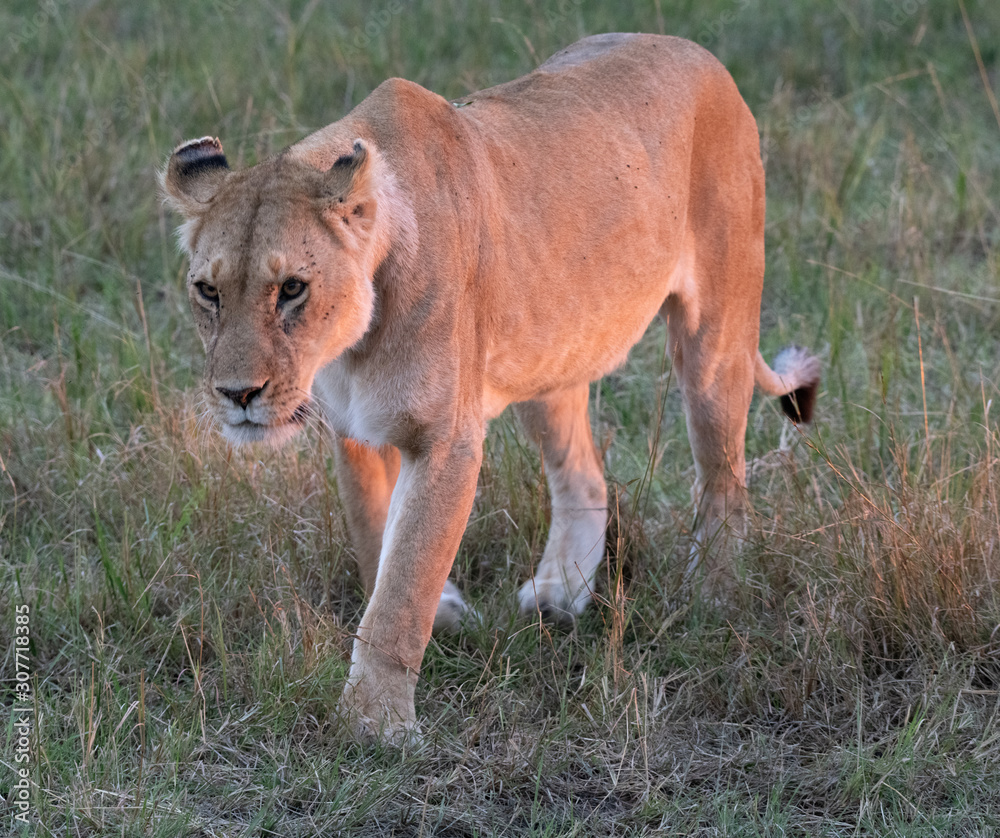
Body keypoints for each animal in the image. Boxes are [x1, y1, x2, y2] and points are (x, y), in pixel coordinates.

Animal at [161, 33, 820, 743]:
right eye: (208, 291)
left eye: (291, 289)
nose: (237, 394)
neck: (349, 350)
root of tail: (699, 52)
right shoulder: (354, 430)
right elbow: (374, 540)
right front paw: (440, 619)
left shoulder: (446, 441)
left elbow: (404, 585)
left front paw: (374, 726)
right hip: (552, 353)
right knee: (584, 476)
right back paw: (560, 595)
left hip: (716, 336)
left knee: (724, 478)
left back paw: (710, 598)